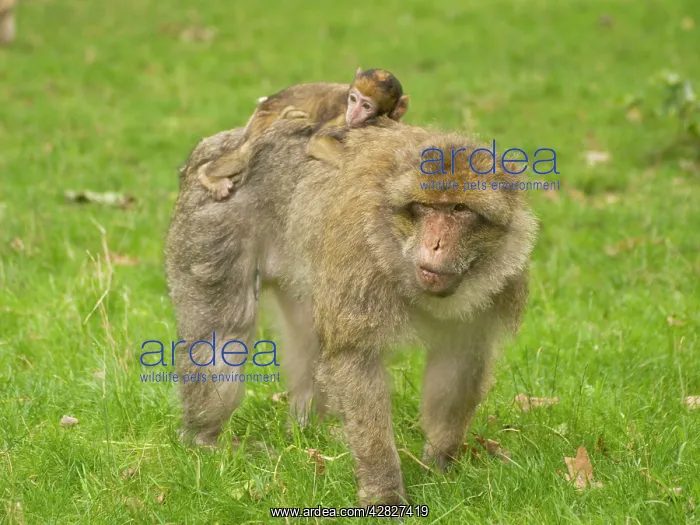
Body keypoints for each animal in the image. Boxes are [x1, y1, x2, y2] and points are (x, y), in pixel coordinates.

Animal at [165, 117, 538, 505]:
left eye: (459, 210)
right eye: (425, 208)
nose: (435, 244)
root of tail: (220, 142)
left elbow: (458, 361)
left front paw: (440, 463)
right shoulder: (360, 261)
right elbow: (353, 358)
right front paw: (383, 489)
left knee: (306, 338)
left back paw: (311, 433)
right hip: (212, 226)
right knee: (221, 337)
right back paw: (205, 439)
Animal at [195, 68, 409, 200]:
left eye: (366, 106)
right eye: (353, 99)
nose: (354, 113)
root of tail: (269, 99)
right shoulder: (342, 118)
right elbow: (317, 141)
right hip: (266, 116)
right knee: (245, 152)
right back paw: (205, 173)